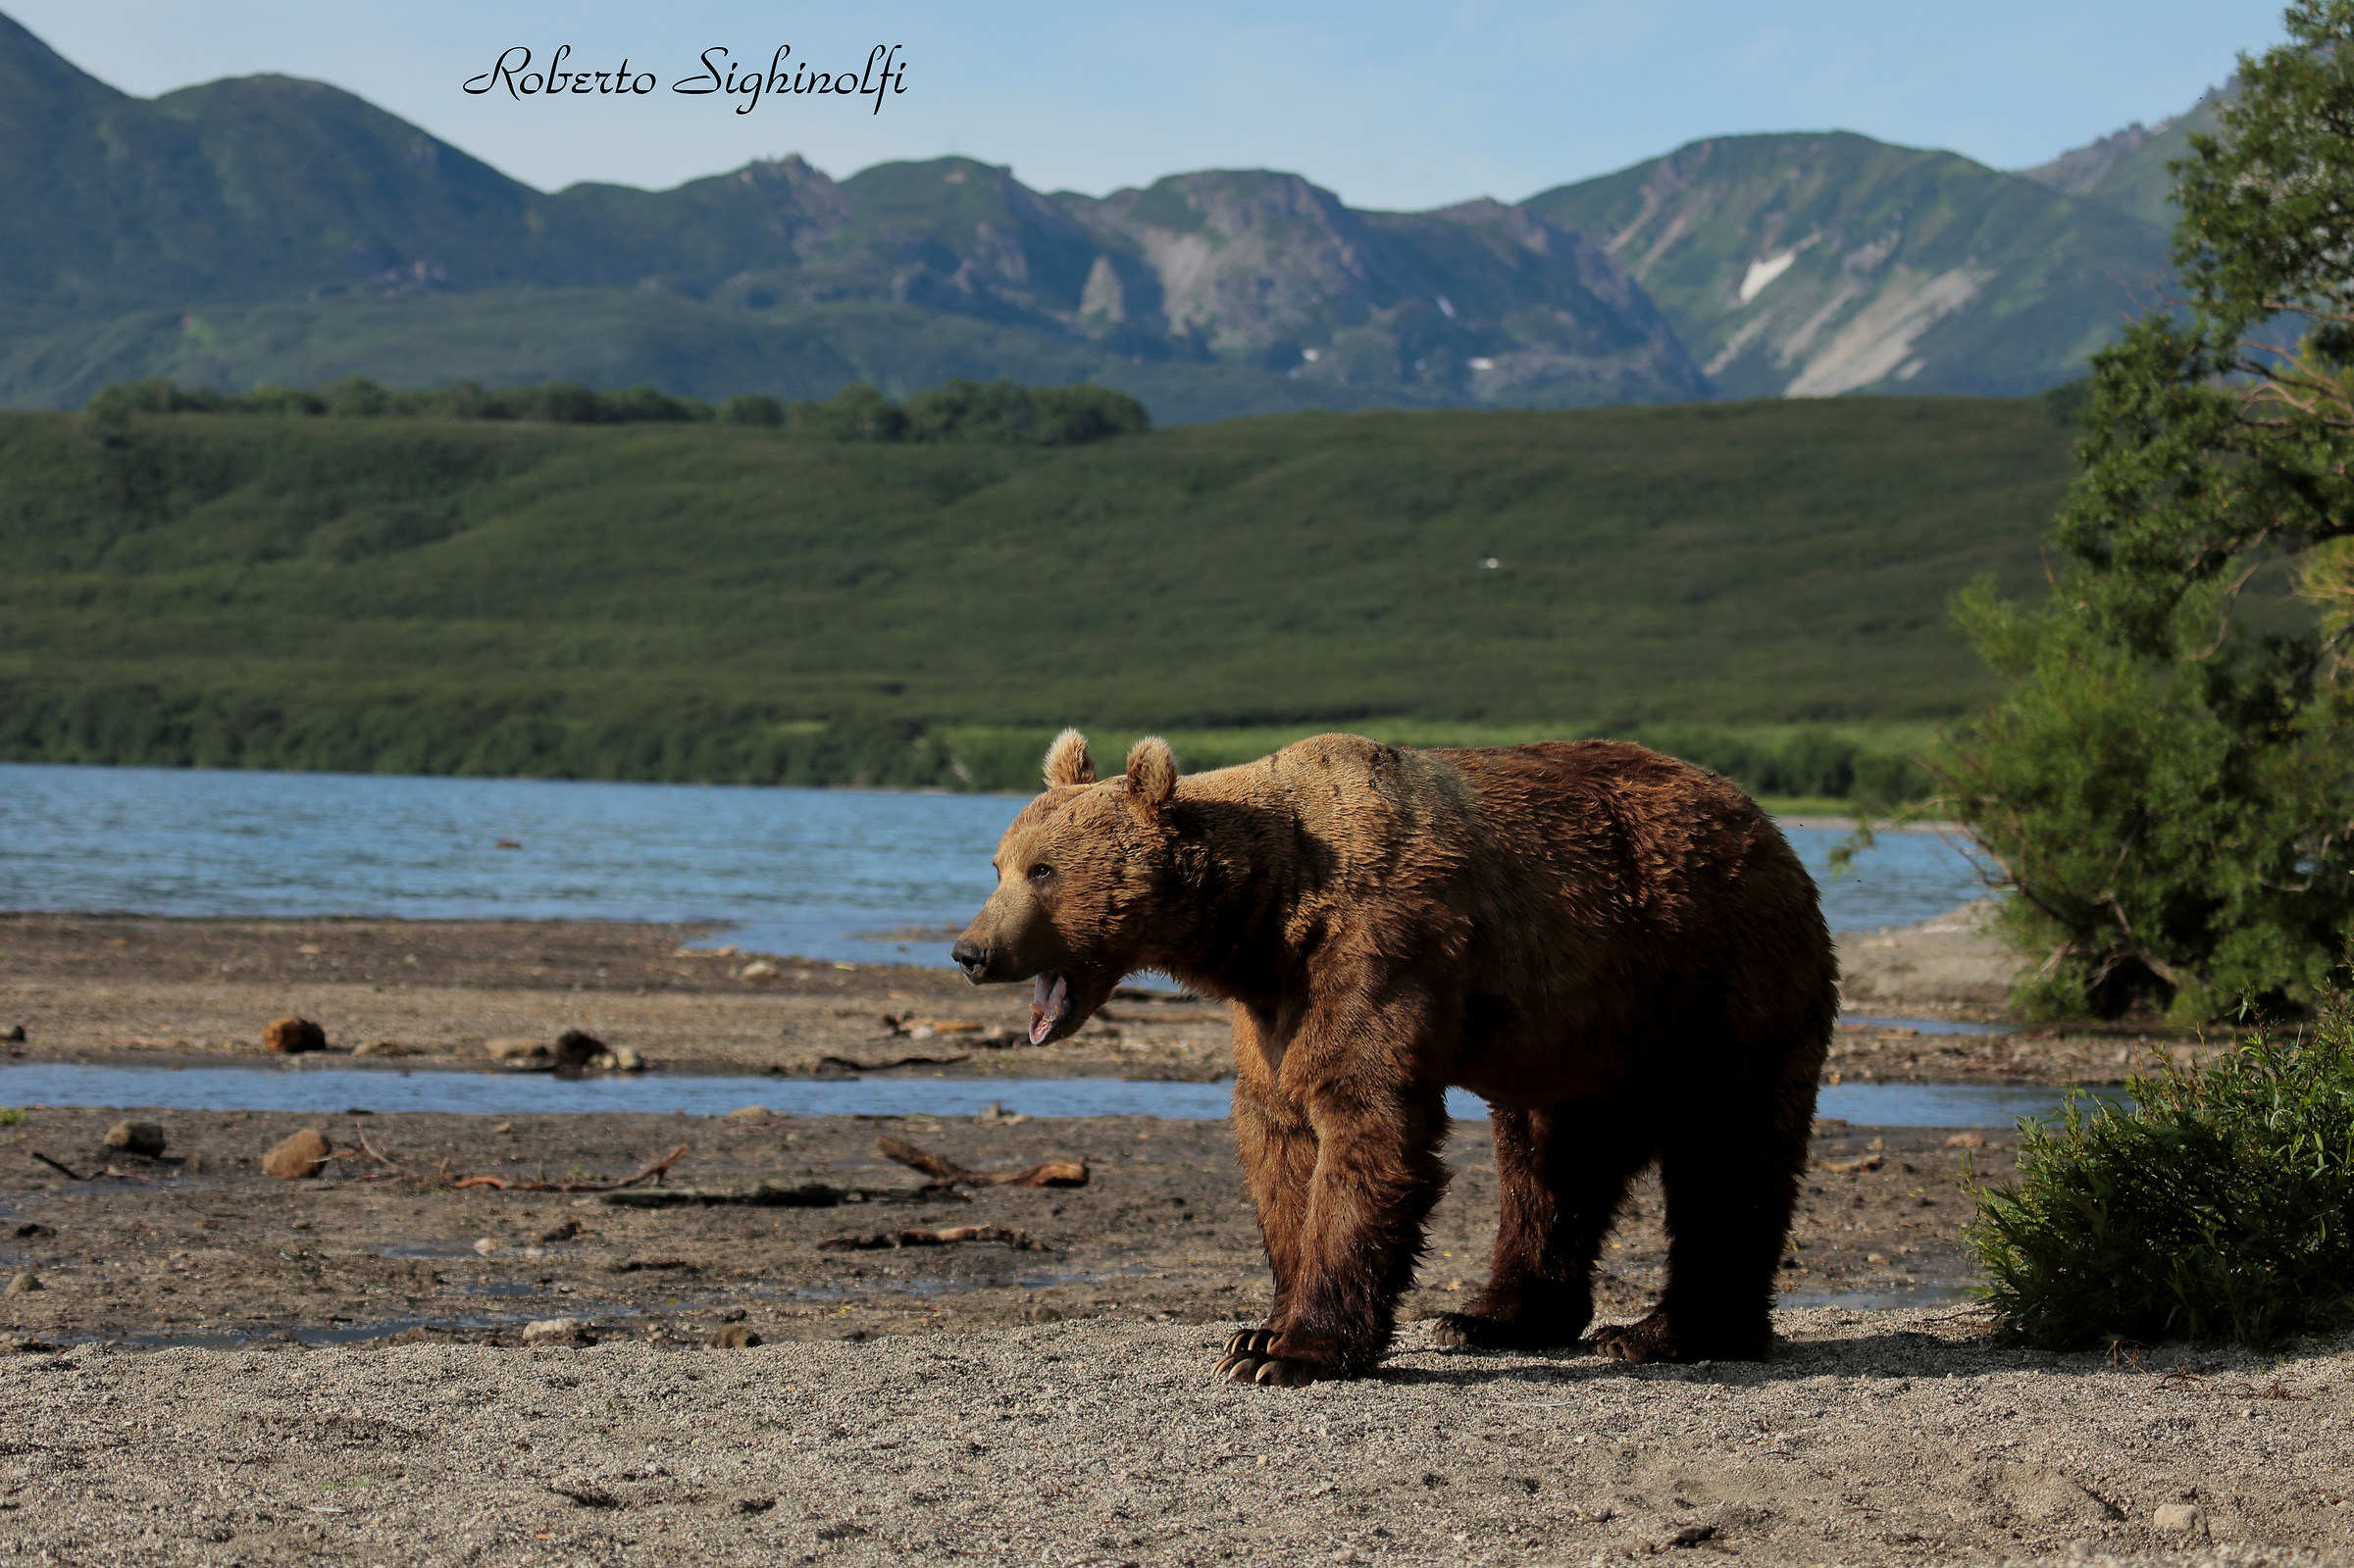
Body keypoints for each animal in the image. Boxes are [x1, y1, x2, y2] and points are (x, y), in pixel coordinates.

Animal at [951, 729, 1836, 1386]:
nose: (970, 950)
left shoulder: (1373, 948)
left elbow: (1365, 1125)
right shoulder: (1274, 1008)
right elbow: (1277, 1135)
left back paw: (1671, 1330)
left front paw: (1296, 1352)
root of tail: (1771, 831)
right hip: (1583, 1033)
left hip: (1718, 981)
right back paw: (1490, 1317)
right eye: (997, 863)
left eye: (1044, 869)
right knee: (1551, 1162)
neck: (1267, 918)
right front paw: (1256, 1332)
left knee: (1727, 1148)